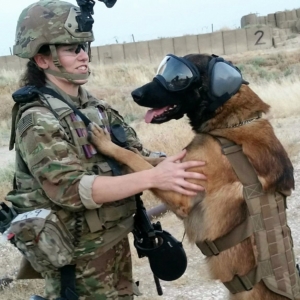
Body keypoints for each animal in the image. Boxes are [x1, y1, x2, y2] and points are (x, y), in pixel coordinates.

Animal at [88, 54, 296, 300]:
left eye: (177, 79)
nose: (134, 94)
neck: (229, 123)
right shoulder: (176, 167)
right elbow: (149, 163)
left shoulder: (182, 197)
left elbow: (139, 162)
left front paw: (107, 144)